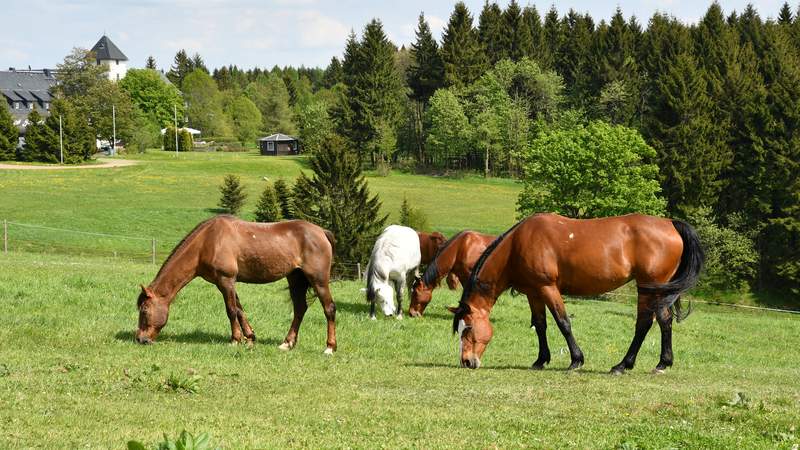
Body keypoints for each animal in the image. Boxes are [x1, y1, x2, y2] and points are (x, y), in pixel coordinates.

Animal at [136, 215, 336, 356]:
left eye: (144, 310)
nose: (140, 339)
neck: (207, 242)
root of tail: (321, 232)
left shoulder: (226, 280)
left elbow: (231, 310)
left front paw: (235, 340)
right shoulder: (228, 283)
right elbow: (240, 310)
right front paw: (250, 338)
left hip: (318, 280)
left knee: (329, 309)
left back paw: (329, 348)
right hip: (295, 278)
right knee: (300, 309)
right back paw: (287, 343)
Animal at [454, 214, 704, 372]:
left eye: (468, 329)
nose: (466, 361)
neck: (517, 245)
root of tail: (670, 223)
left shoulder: (548, 288)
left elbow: (563, 322)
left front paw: (576, 360)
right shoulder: (534, 292)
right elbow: (540, 325)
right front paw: (541, 360)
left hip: (649, 288)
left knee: (645, 323)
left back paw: (623, 365)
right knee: (663, 321)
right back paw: (661, 363)